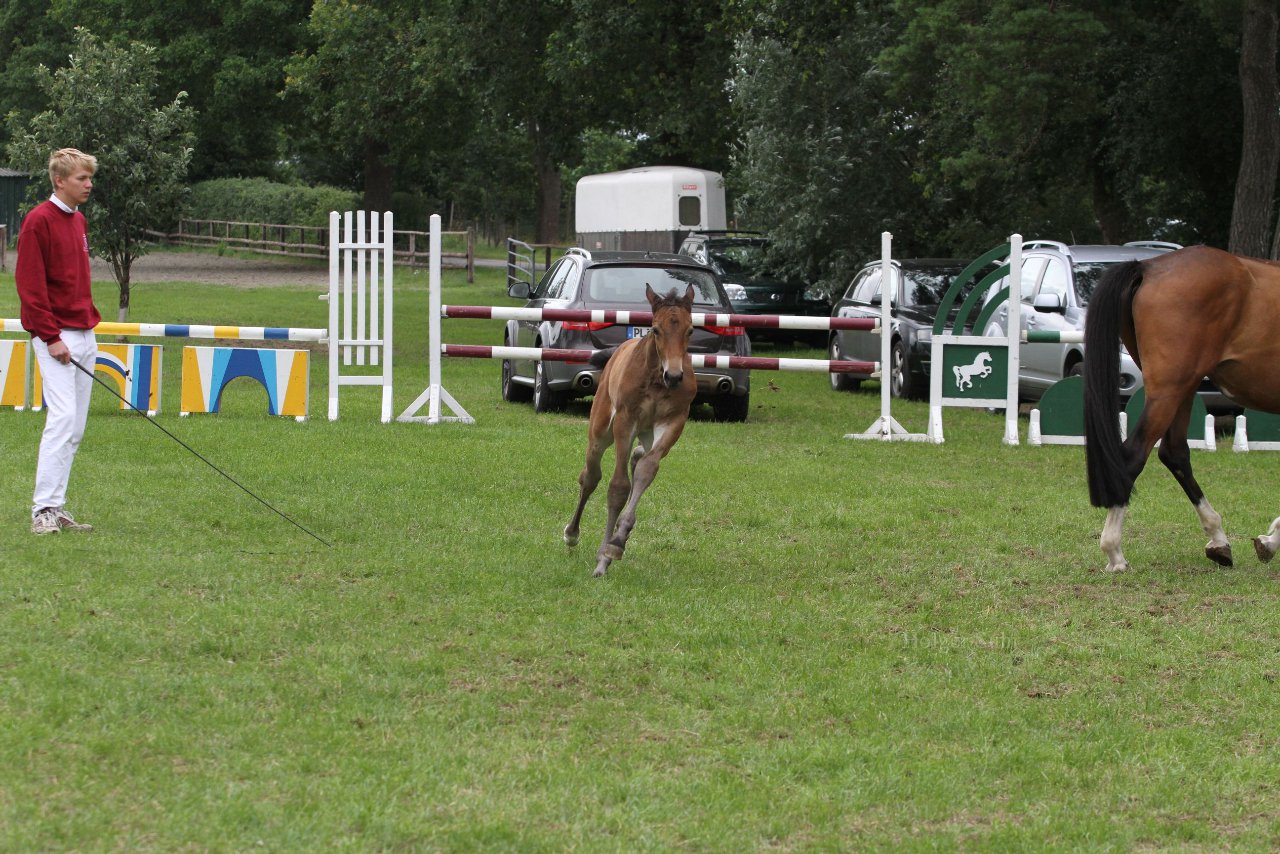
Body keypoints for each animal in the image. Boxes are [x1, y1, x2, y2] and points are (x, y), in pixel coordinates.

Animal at [565, 284, 696, 578]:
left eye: (690, 330)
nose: (674, 376)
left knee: (639, 457)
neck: (657, 378)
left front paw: (616, 543)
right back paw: (572, 534)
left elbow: (647, 470)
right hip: (601, 430)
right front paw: (605, 556)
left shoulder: (674, 421)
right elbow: (618, 487)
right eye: (656, 329)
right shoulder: (626, 419)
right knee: (590, 476)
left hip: (647, 432)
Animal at [1085, 247, 1280, 573]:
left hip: (1184, 390)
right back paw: (1114, 552)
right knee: (1134, 455)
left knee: (1174, 452)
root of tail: (1148, 267)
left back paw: (1218, 541)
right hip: (1170, 390)